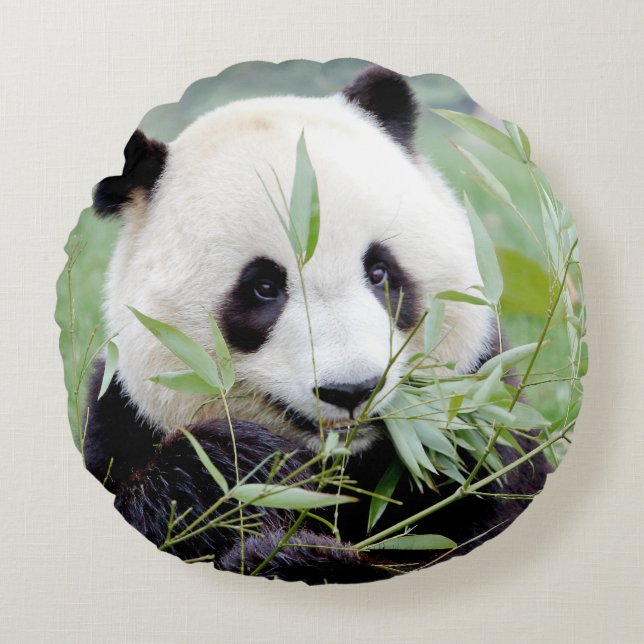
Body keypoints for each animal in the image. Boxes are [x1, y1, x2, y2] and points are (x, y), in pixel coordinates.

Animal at [84, 66, 549, 584]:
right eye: (264, 287)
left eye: (380, 272)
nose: (352, 389)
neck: (349, 467)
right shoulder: (119, 420)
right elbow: (169, 493)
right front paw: (255, 471)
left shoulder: (485, 419)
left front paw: (292, 550)